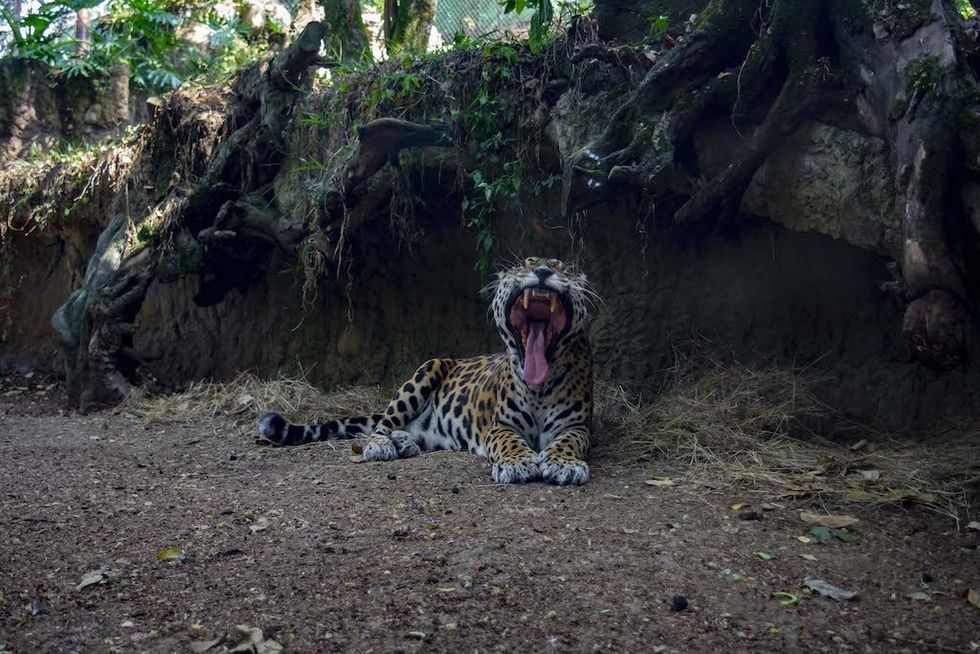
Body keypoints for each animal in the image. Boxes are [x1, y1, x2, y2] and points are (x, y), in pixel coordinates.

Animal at [256, 257, 598, 485]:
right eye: (524, 265)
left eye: (562, 268)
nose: (542, 272)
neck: (539, 386)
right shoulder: (501, 426)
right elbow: (509, 442)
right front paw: (517, 463)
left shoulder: (576, 427)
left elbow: (568, 442)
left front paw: (565, 464)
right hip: (425, 370)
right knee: (383, 423)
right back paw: (382, 445)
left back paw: (404, 442)